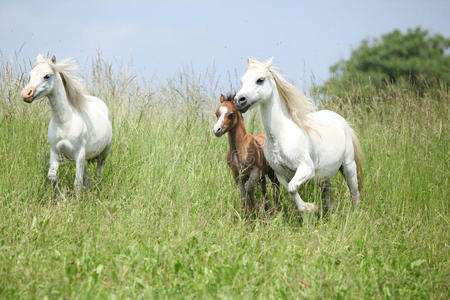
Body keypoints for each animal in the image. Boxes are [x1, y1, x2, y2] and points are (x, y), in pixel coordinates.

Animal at [20, 54, 112, 196]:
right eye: (30, 75)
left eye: (47, 76)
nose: (26, 94)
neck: (64, 122)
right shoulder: (55, 152)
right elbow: (52, 177)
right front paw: (62, 197)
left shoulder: (79, 153)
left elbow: (77, 183)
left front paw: (77, 199)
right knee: (87, 177)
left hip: (103, 152)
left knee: (100, 170)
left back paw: (99, 188)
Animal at [234, 57, 364, 214]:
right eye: (242, 80)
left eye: (260, 80)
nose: (239, 100)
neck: (280, 136)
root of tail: (342, 121)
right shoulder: (280, 174)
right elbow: (292, 191)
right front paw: (309, 210)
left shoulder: (306, 168)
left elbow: (292, 188)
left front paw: (311, 207)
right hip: (325, 173)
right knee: (328, 194)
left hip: (348, 166)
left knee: (354, 193)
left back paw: (356, 214)